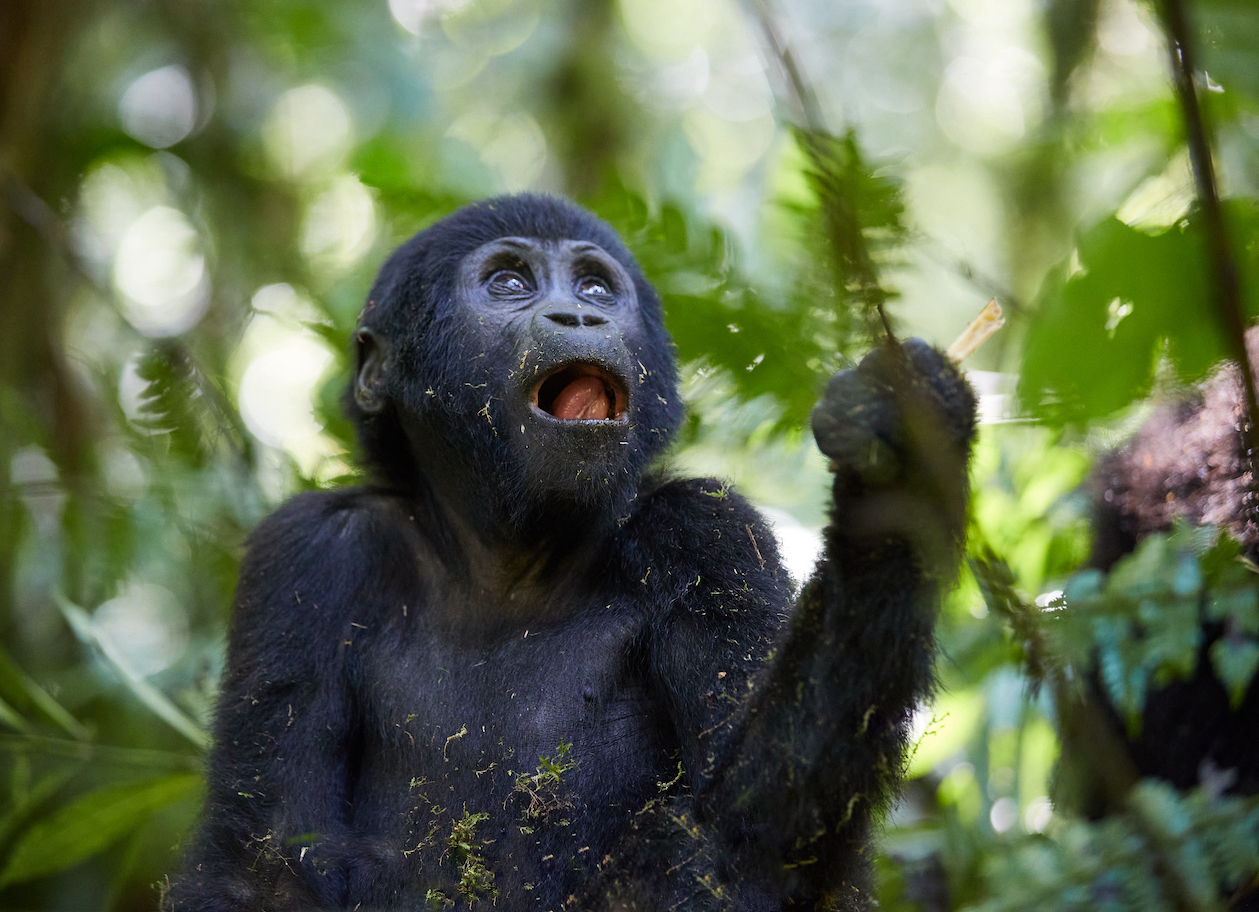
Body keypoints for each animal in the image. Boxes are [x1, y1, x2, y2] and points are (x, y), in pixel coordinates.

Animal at [164, 197, 971, 912]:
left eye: (594, 287)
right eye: (509, 283)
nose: (580, 316)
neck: (504, 558)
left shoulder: (707, 532)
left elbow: (748, 848)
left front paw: (905, 459)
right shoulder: (306, 555)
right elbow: (264, 866)